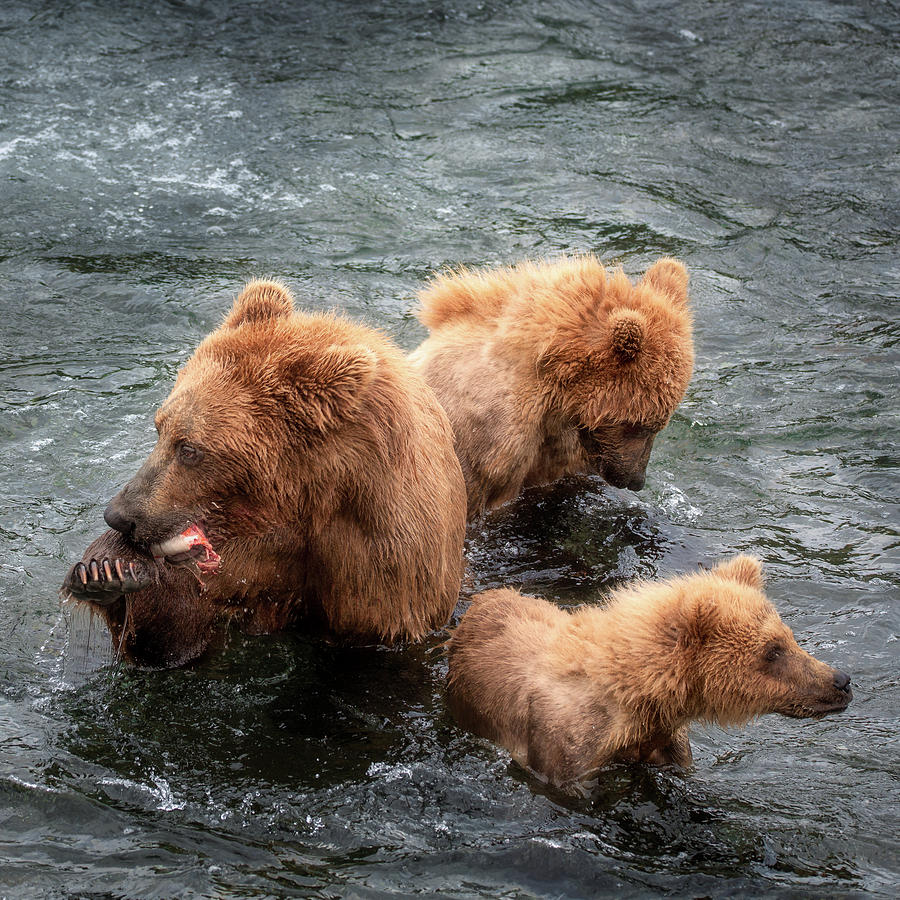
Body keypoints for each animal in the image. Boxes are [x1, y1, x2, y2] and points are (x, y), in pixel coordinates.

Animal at [63, 282, 468, 668]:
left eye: (189, 449)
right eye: (159, 427)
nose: (118, 515)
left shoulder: (382, 579)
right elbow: (172, 638)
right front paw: (105, 568)